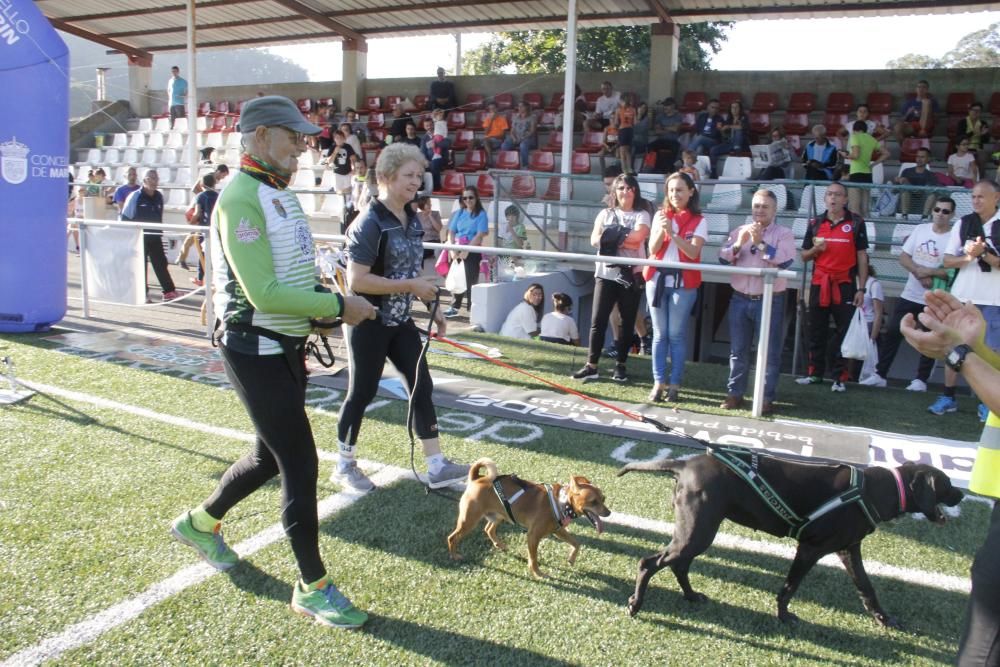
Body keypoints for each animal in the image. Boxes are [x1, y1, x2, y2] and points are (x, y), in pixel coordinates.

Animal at [446, 460, 608, 580]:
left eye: (603, 499)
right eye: (593, 502)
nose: (608, 512)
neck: (562, 502)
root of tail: (477, 478)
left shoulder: (558, 530)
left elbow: (576, 543)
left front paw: (571, 559)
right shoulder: (533, 536)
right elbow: (534, 559)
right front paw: (538, 573)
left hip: (499, 515)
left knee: (488, 529)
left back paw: (500, 545)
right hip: (469, 521)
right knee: (452, 537)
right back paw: (454, 555)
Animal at [616, 454, 960, 628]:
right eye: (946, 483)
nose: (962, 494)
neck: (877, 489)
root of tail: (684, 464)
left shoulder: (848, 549)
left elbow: (866, 587)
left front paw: (883, 618)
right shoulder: (810, 549)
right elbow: (789, 587)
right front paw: (783, 616)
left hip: (697, 531)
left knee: (679, 565)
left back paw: (690, 596)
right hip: (697, 532)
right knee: (649, 563)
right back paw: (636, 603)